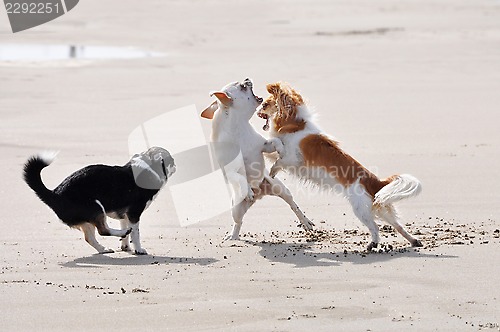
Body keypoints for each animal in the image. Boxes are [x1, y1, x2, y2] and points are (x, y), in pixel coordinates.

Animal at [23, 147, 176, 254]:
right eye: (170, 159)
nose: (175, 164)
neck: (148, 168)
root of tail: (55, 193)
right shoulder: (133, 214)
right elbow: (135, 233)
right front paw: (139, 249)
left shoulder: (124, 215)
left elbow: (127, 229)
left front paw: (125, 246)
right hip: (96, 208)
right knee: (103, 230)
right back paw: (122, 233)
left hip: (88, 219)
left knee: (90, 238)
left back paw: (104, 249)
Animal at [260, 81, 424, 250]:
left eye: (266, 104)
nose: (259, 108)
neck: (296, 124)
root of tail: (376, 182)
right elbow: (271, 152)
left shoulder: (292, 159)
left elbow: (278, 160)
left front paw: (272, 172)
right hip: (380, 207)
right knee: (398, 225)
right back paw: (413, 240)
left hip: (360, 209)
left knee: (375, 227)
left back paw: (373, 244)